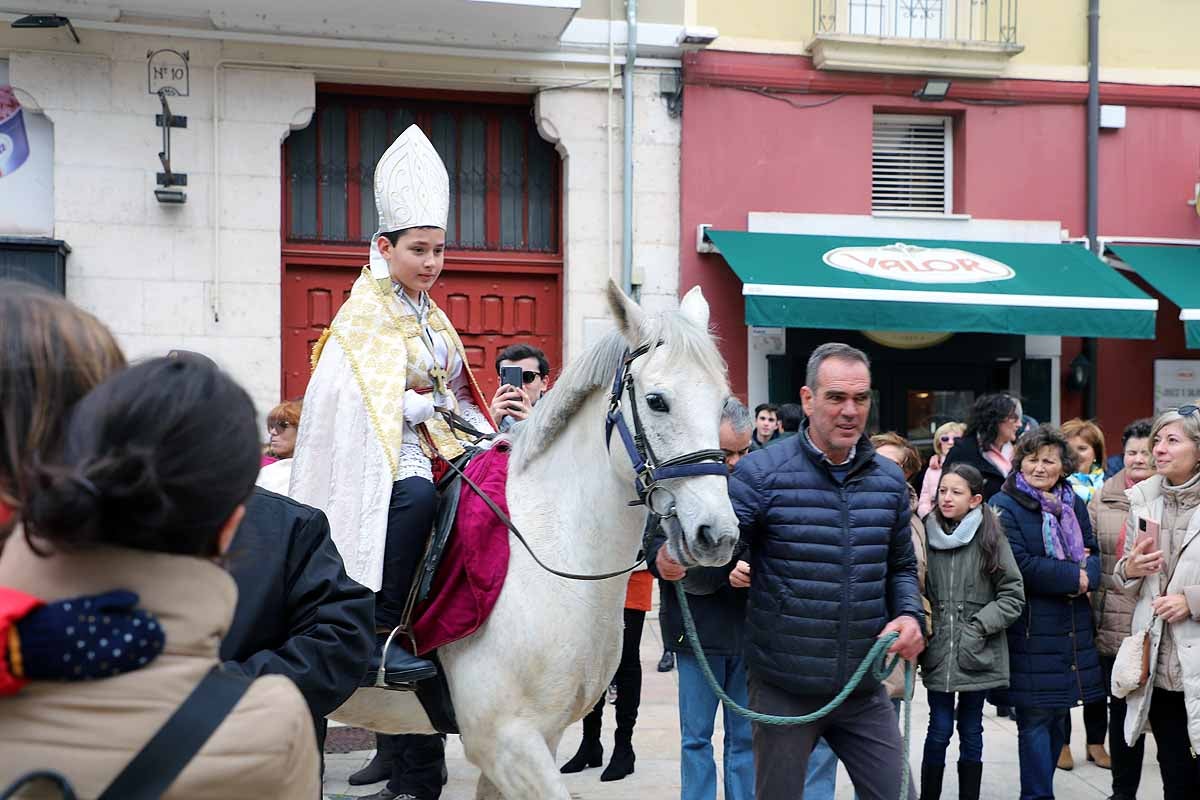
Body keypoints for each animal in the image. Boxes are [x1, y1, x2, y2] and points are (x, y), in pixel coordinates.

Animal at [331, 281, 739, 800]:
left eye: (722, 401)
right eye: (657, 400)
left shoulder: (537, 737)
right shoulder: (506, 741)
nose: (717, 535)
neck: (553, 548)